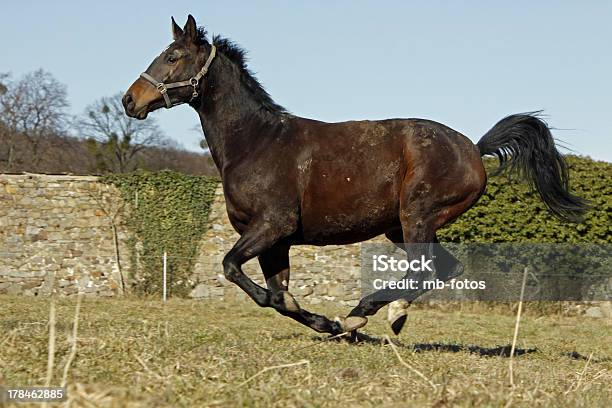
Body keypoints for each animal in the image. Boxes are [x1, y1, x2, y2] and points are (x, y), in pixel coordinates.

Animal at [122, 14, 584, 336]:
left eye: (172, 57)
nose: (130, 100)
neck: (256, 142)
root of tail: (473, 147)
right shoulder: (276, 241)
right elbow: (279, 297)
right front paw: (325, 324)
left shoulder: (272, 225)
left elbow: (232, 267)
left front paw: (336, 323)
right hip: (403, 226)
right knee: (443, 269)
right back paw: (383, 316)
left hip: (417, 215)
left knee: (425, 270)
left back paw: (366, 314)